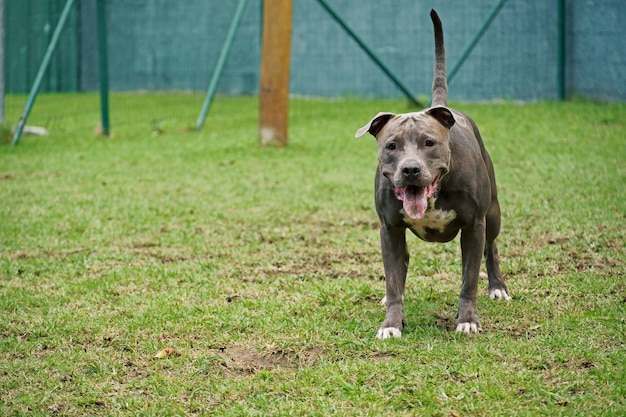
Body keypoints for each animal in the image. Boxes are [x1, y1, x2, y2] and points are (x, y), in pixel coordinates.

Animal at [354, 9, 510, 338]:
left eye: (429, 143)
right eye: (391, 145)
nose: (411, 169)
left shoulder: (474, 226)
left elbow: (469, 279)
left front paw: (468, 319)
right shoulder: (389, 229)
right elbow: (393, 279)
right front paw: (392, 323)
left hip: (492, 214)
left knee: (491, 248)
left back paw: (498, 287)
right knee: (401, 265)